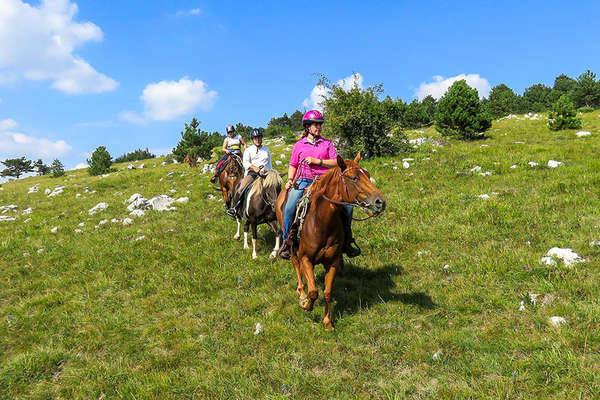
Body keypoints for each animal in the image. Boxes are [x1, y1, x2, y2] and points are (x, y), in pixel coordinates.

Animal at [276, 152, 386, 328]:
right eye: (354, 178)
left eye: (368, 175)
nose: (380, 202)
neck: (321, 223)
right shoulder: (306, 259)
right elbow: (314, 291)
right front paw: (306, 304)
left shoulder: (333, 261)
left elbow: (327, 292)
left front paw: (327, 322)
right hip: (291, 245)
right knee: (295, 264)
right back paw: (301, 293)